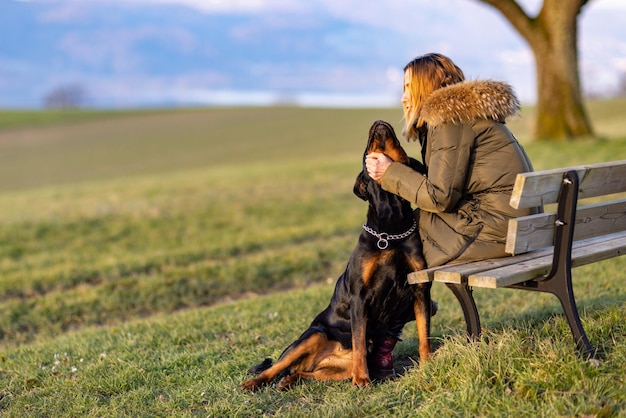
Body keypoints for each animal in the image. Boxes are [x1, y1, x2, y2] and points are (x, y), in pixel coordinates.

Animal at [240, 121, 434, 392]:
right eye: (364, 153)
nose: (378, 123)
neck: (390, 226)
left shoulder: (420, 288)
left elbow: (424, 332)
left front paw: (427, 367)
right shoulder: (359, 296)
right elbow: (360, 340)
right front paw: (362, 379)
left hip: (334, 370)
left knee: (305, 374)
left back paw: (290, 380)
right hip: (312, 335)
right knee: (274, 367)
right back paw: (254, 383)